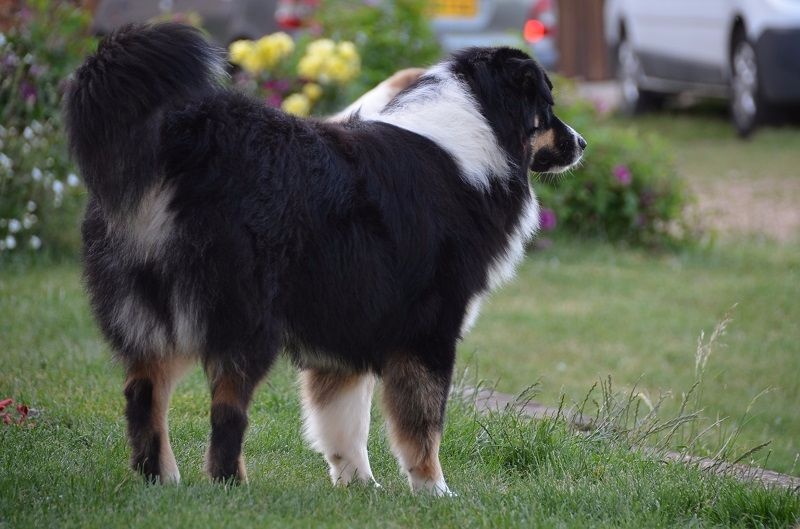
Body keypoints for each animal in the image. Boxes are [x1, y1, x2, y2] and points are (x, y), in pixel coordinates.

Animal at [65, 23, 584, 496]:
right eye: (547, 110)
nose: (581, 144)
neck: (479, 128)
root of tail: (186, 139)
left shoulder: (350, 323)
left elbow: (345, 422)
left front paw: (359, 485)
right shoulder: (429, 329)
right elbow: (423, 423)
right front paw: (433, 489)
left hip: (151, 311)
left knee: (143, 393)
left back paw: (159, 478)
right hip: (245, 319)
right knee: (226, 407)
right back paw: (229, 483)